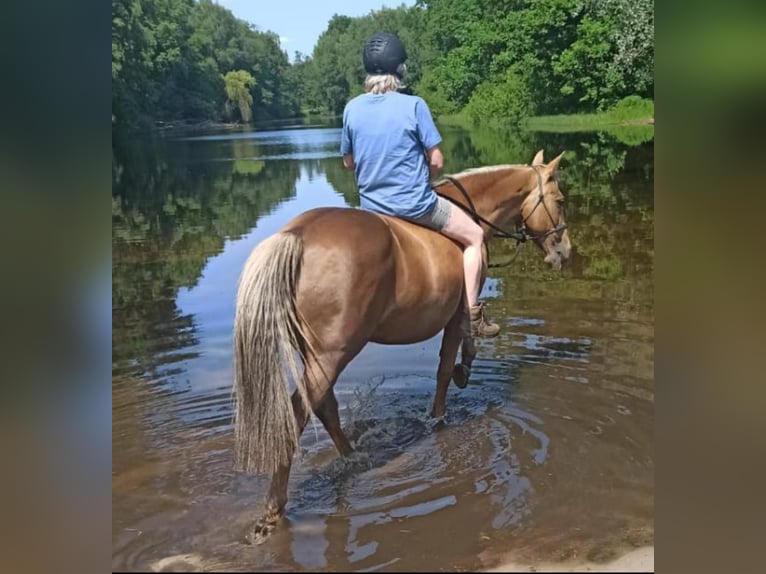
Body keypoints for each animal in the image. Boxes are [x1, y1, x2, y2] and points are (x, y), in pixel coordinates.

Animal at [231, 148, 572, 544]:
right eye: (560, 200)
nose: (565, 251)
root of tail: (295, 235)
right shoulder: (456, 315)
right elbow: (447, 366)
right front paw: (444, 406)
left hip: (315, 354)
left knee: (325, 407)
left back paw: (353, 457)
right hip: (333, 354)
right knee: (298, 413)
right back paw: (273, 510)